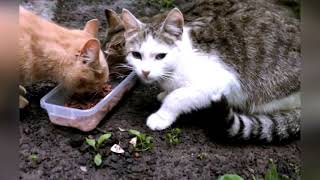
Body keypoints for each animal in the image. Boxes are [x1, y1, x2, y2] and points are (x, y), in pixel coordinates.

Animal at [120, 5, 300, 142]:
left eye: (160, 56)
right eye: (136, 55)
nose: (145, 71)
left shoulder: (223, 81)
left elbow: (178, 97)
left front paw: (162, 116)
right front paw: (165, 93)